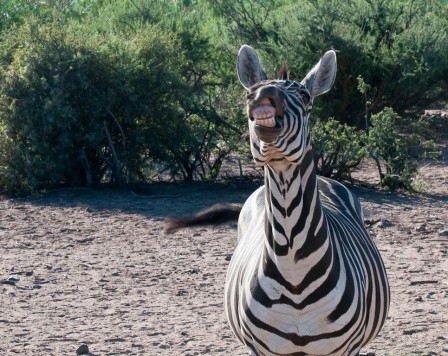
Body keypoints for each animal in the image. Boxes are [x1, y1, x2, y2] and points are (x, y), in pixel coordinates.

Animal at [166, 46, 390, 354]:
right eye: (249, 93)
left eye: (305, 97)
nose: (263, 93)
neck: (293, 269)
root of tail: (326, 180)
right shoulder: (260, 349)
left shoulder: (344, 349)